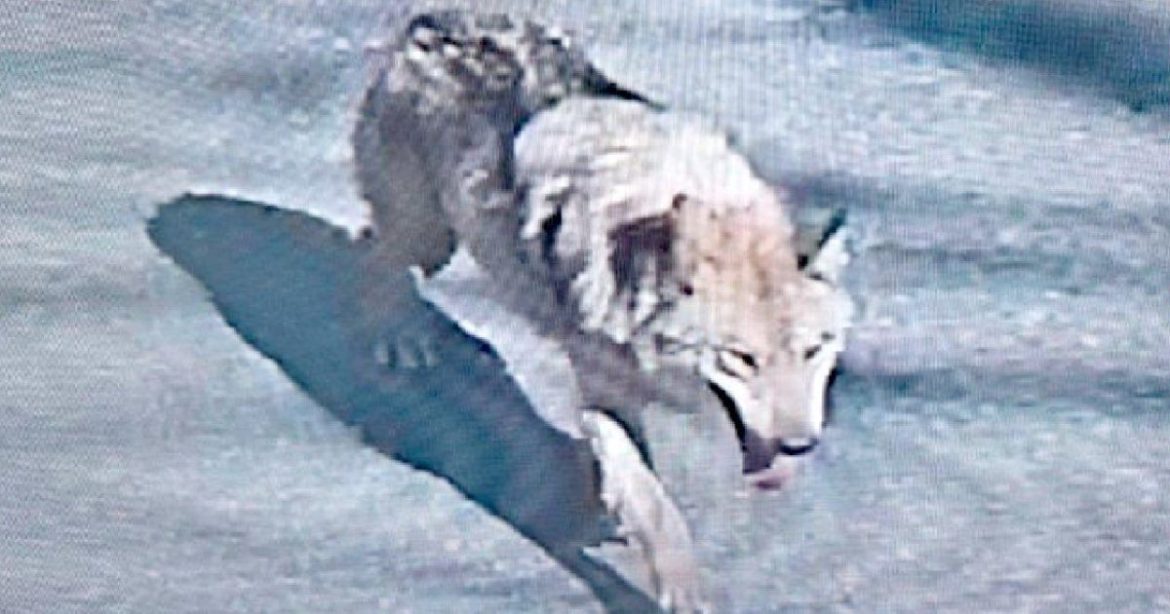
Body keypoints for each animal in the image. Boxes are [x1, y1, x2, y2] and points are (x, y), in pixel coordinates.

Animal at [353, 10, 853, 612]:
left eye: (813, 350)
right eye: (741, 358)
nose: (801, 446)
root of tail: (433, 19)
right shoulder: (602, 389)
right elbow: (655, 504)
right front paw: (681, 588)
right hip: (430, 239)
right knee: (374, 249)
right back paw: (395, 337)